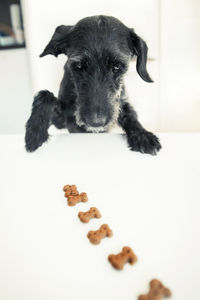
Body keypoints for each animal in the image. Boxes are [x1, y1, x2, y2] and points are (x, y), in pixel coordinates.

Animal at [25, 15, 161, 155]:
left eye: (117, 66)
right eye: (79, 66)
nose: (96, 122)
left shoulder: (120, 103)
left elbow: (130, 115)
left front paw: (142, 135)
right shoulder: (61, 121)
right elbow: (45, 95)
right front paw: (35, 132)